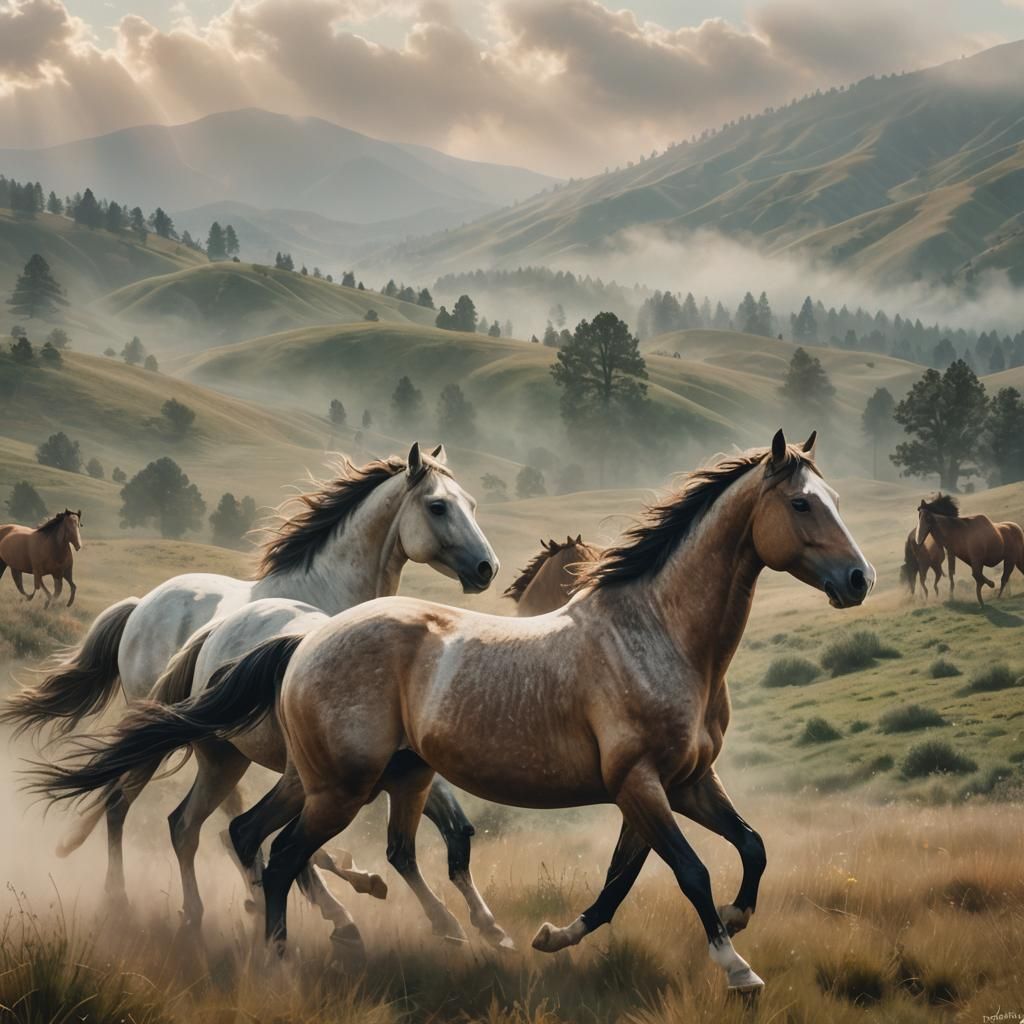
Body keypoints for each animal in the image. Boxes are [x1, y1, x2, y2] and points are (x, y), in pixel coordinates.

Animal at [5, 444, 499, 912]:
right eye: (438, 506)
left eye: (473, 504)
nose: (486, 568)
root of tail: (141, 605)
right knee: (126, 803)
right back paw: (120, 896)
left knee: (200, 812)